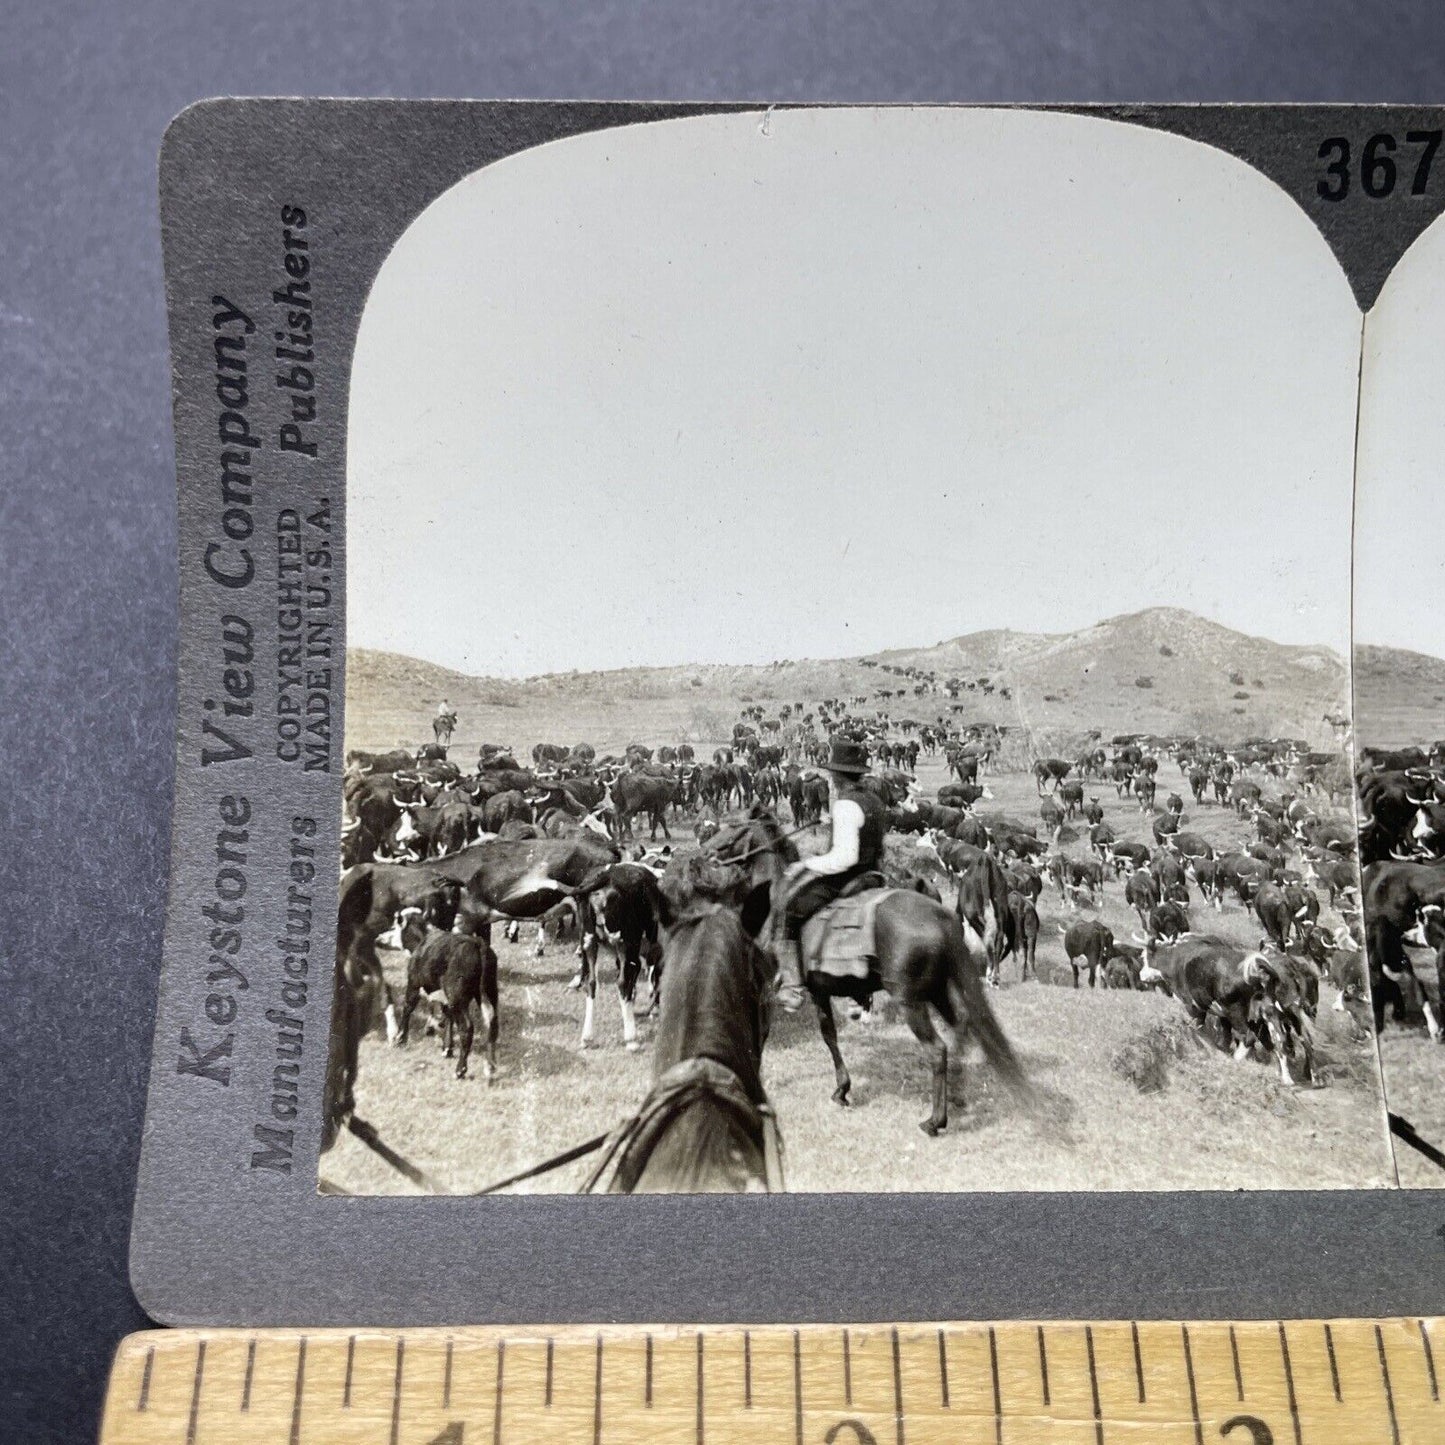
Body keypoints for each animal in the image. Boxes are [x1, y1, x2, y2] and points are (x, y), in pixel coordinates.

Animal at [699, 809, 1028, 1132]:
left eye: (729, 830)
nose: (701, 855)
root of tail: (940, 919)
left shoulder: (773, 990)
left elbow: (783, 1035)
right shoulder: (819, 992)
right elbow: (829, 1035)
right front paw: (842, 1088)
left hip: (911, 1001)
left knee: (937, 1049)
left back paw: (934, 1120)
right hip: (936, 991)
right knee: (961, 1026)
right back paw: (957, 1095)